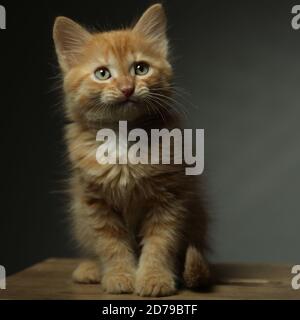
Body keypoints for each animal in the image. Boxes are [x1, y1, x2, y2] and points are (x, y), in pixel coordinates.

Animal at [52, 3, 210, 298]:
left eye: (140, 68)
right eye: (103, 73)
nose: (127, 88)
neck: (123, 137)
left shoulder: (169, 199)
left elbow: (160, 244)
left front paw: (154, 278)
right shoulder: (95, 203)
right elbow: (111, 245)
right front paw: (119, 276)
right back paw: (91, 268)